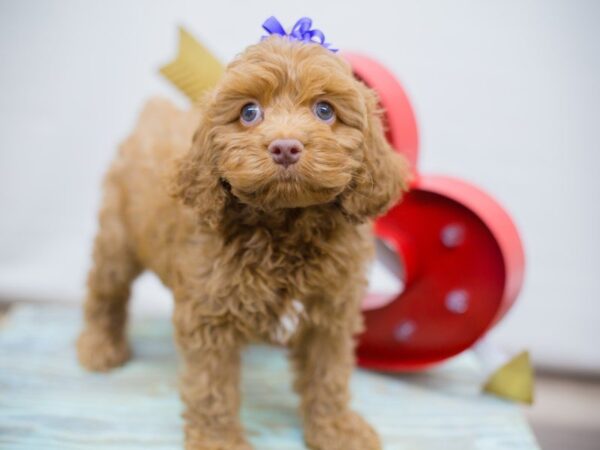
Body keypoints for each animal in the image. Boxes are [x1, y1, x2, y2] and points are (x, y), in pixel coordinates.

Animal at [77, 36, 408, 450]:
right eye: (249, 112)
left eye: (324, 110)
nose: (285, 147)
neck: (286, 224)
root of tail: (153, 113)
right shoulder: (209, 314)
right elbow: (212, 386)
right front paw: (218, 440)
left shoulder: (330, 310)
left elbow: (328, 374)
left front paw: (336, 429)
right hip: (117, 239)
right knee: (105, 291)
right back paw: (99, 346)